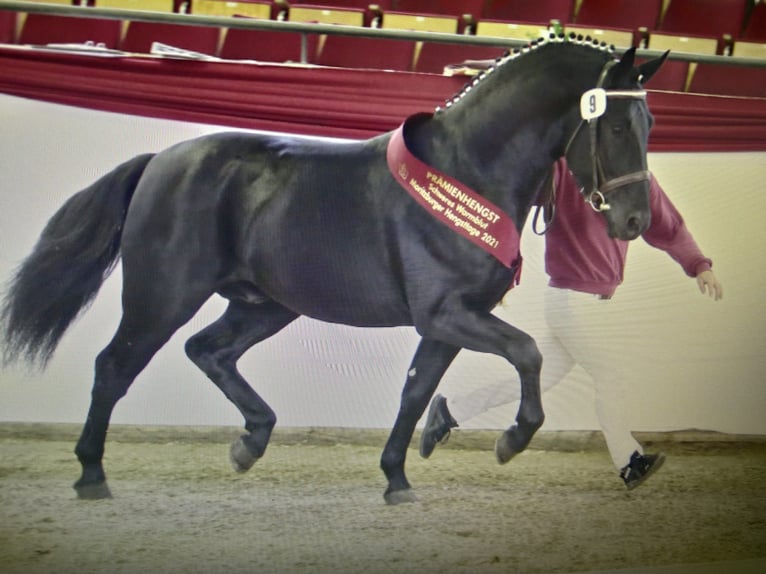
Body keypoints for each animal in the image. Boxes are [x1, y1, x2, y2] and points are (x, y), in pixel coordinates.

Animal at [3, 37, 664, 504]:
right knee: (115, 367)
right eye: (613, 125)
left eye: (650, 125)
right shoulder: (447, 313)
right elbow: (526, 352)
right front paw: (510, 441)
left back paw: (251, 441)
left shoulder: (449, 321)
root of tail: (159, 161)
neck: (469, 171)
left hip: (264, 304)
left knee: (208, 351)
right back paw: (92, 474)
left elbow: (416, 391)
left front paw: (397, 477)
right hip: (162, 296)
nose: (635, 220)